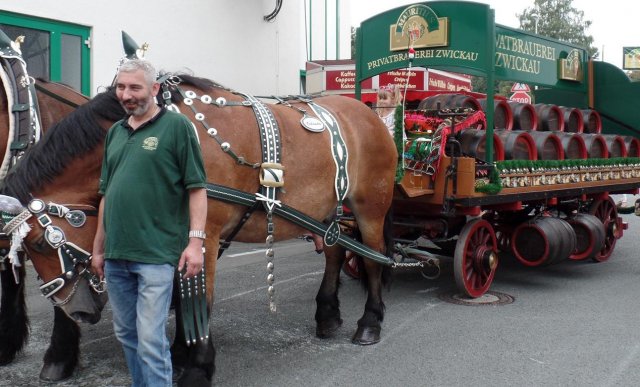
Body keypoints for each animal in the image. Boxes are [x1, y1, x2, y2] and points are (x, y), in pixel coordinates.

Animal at [0, 74, 398, 386]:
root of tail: (368, 113)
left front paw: (197, 367)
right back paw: (328, 314)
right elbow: (179, 293)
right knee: (334, 250)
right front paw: (179, 353)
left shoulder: (203, 233)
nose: (77, 312)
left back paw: (370, 323)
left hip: (370, 207)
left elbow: (198, 298)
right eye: (24, 252)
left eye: (41, 241)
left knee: (374, 259)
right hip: (330, 209)